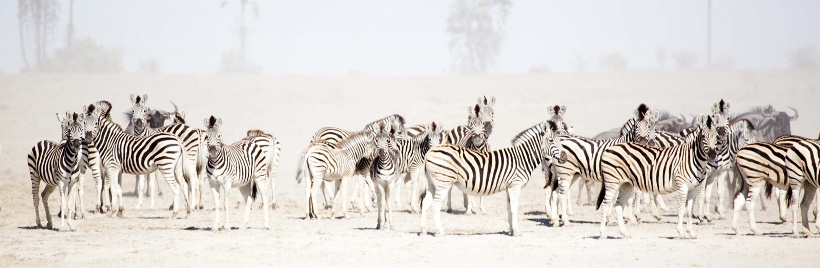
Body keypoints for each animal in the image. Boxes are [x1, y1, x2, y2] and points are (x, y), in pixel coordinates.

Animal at [420, 120, 568, 236]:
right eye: (551, 140)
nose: (565, 157)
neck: (521, 159)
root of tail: (429, 153)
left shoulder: (509, 187)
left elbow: (509, 208)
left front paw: (511, 230)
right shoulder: (515, 185)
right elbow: (514, 208)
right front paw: (517, 231)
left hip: (433, 183)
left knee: (426, 203)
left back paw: (423, 230)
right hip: (443, 182)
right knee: (435, 205)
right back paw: (440, 231)